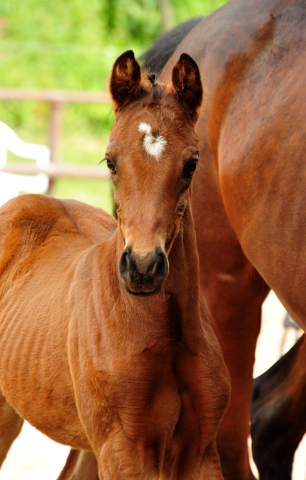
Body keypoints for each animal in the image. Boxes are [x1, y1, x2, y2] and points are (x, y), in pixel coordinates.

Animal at [0, 51, 230, 480]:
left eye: (191, 164)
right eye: (110, 161)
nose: (142, 266)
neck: (165, 333)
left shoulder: (200, 452)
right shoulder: (124, 451)